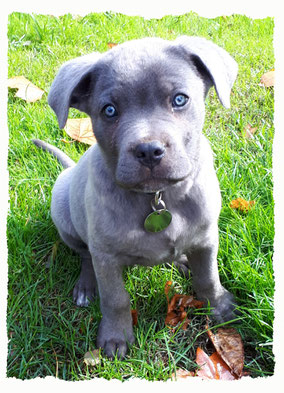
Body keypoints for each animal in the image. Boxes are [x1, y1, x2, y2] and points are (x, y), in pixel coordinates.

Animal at [32, 36, 239, 358]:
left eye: (179, 99)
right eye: (109, 110)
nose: (149, 150)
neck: (157, 197)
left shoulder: (207, 238)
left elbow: (207, 276)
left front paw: (219, 306)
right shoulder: (106, 257)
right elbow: (115, 298)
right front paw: (115, 337)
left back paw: (181, 261)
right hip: (65, 217)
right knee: (85, 255)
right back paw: (86, 287)